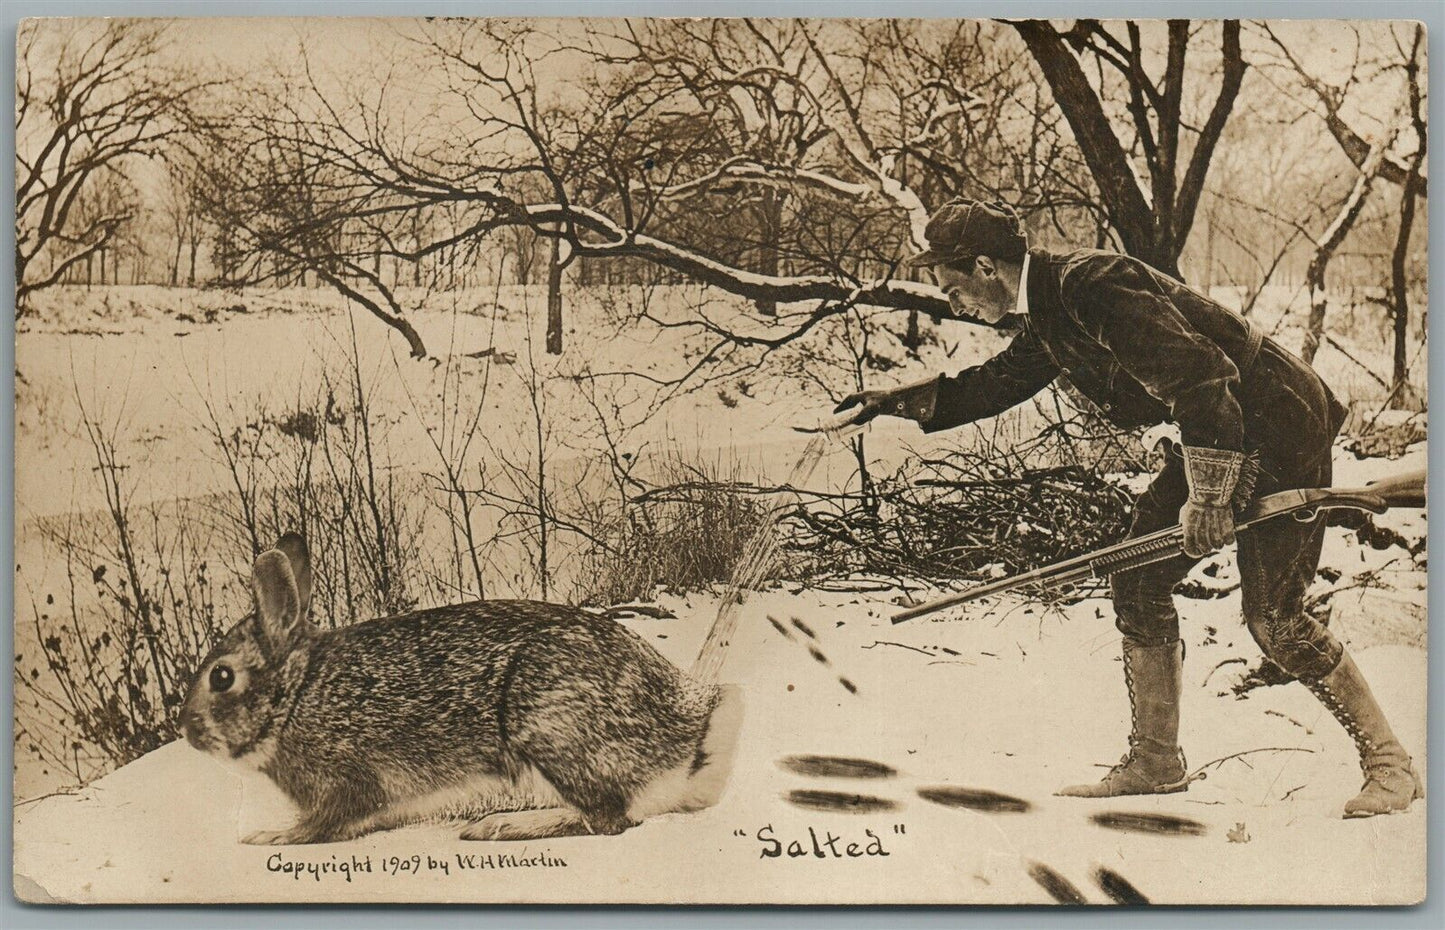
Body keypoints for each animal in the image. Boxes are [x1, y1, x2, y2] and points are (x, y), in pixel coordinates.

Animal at [181, 533, 743, 845]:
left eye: (221, 676)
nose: (186, 729)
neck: (296, 694)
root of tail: (689, 730)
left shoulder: (343, 780)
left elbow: (321, 825)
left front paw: (268, 836)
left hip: (548, 721)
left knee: (608, 817)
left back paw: (501, 827)